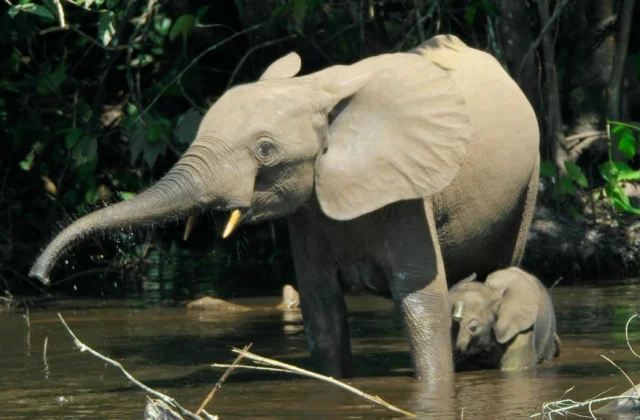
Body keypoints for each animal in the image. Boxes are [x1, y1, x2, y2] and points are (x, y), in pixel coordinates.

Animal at [29, 34, 540, 381]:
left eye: (265, 150)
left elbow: (421, 303)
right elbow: (322, 312)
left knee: (500, 268)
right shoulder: (308, 211)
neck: (316, 90)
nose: (39, 278)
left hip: (529, 181)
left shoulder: (408, 193)